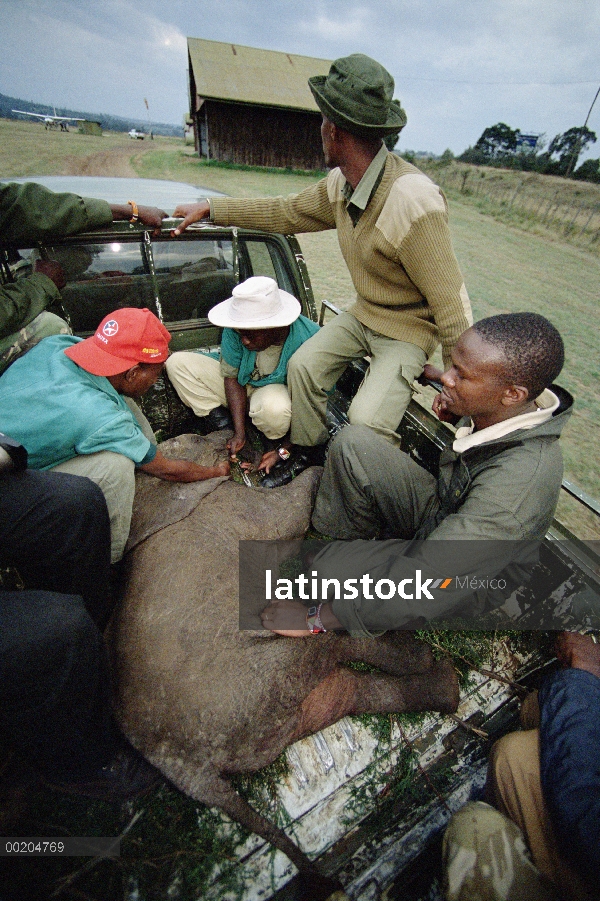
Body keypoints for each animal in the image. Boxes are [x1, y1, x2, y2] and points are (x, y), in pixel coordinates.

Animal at [110, 434, 460, 880]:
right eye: (198, 440)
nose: (227, 438)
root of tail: (187, 772)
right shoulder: (235, 510)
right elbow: (287, 511)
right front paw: (316, 464)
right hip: (247, 689)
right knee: (330, 650)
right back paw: (423, 658)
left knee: (341, 693)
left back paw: (445, 686)